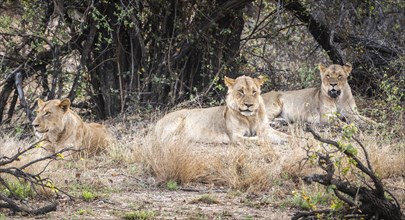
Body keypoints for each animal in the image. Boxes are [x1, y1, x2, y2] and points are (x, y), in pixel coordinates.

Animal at [151, 75, 288, 145]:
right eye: (241, 91)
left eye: (254, 92)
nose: (249, 105)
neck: (250, 118)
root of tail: (159, 121)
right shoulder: (235, 136)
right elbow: (256, 139)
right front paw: (264, 140)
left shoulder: (266, 130)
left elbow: (286, 136)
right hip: (176, 121)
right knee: (163, 140)